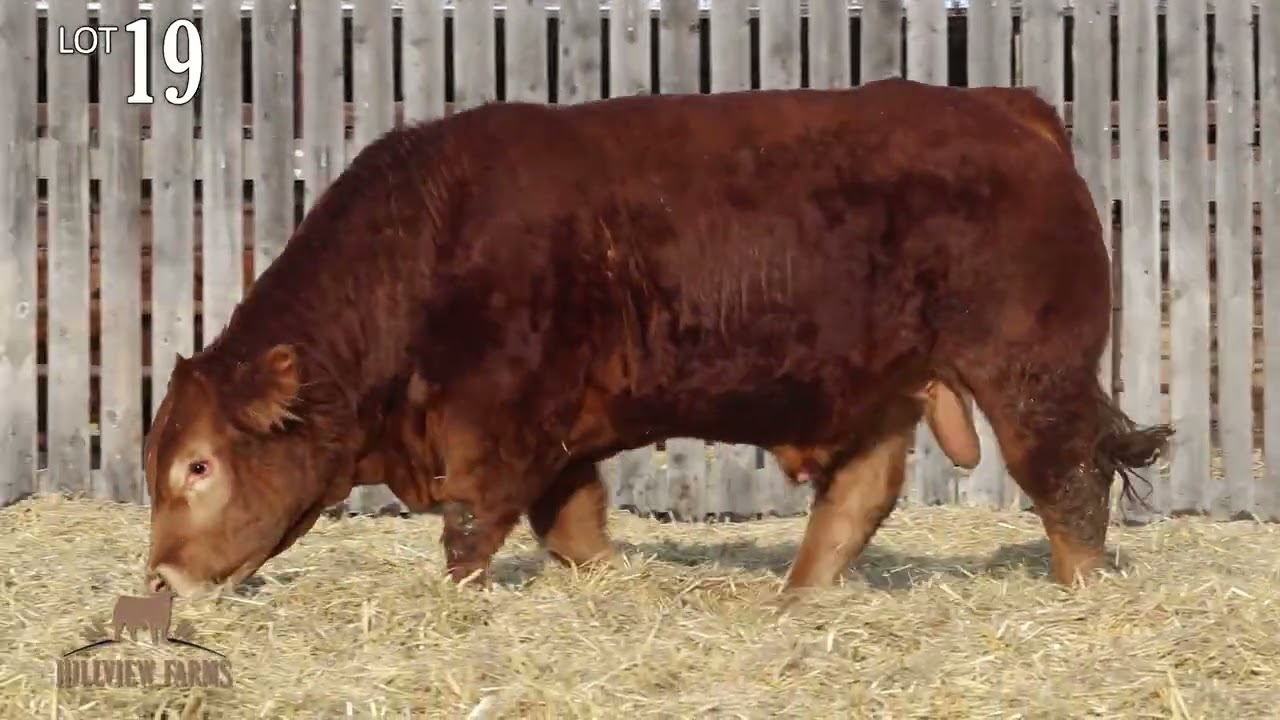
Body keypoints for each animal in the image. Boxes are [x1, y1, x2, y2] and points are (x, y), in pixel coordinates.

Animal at [141, 77, 1172, 599]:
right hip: (884, 386)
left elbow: (470, 534)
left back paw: (1084, 596)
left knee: (1070, 483)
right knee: (860, 492)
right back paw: (798, 601)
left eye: (199, 465)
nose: (160, 577)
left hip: (1032, 373)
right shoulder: (557, 443)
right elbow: (574, 530)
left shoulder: (498, 425)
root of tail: (1012, 109)